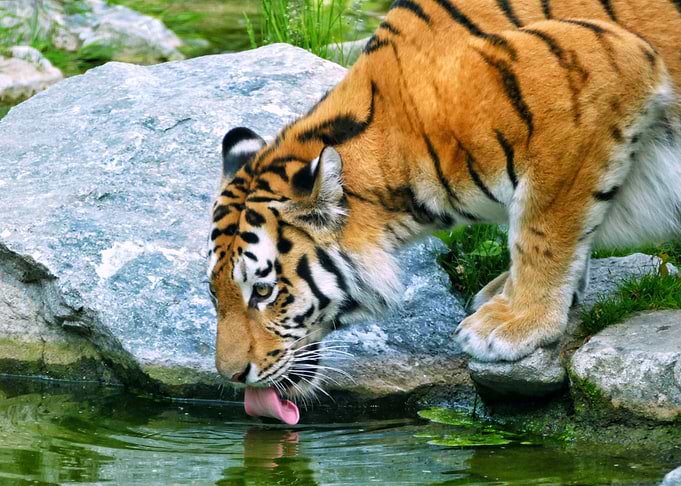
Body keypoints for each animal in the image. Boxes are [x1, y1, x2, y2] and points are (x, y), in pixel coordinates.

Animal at [207, 0, 681, 401]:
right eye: (214, 294)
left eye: (264, 291)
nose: (231, 377)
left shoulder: (593, 76)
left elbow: (542, 230)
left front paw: (515, 322)